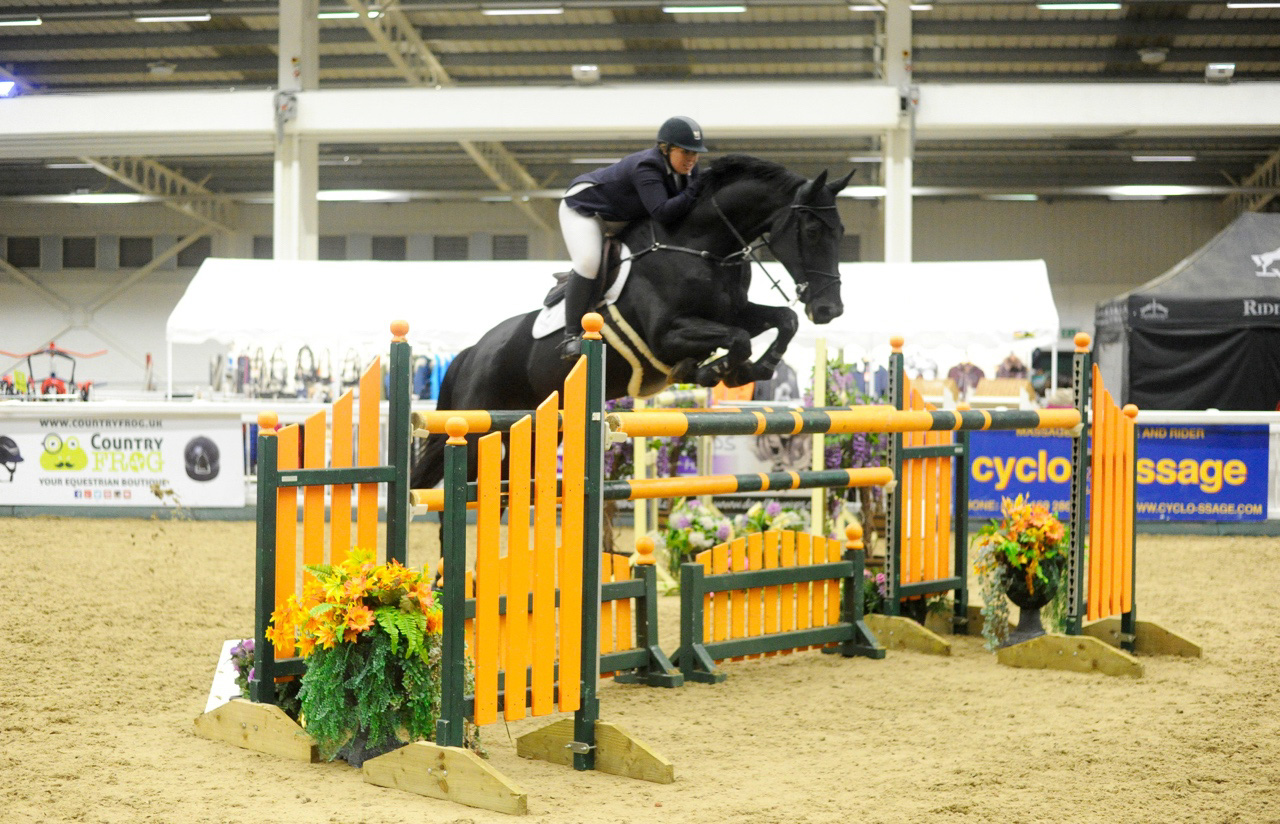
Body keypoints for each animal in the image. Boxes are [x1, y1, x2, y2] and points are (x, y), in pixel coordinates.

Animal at [409, 154, 849, 488]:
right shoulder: (665, 335)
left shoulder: (732, 311)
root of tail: (472, 352)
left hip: (530, 431)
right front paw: (713, 370)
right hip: (476, 426)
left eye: (841, 231)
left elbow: (783, 320)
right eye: (812, 230)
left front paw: (756, 368)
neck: (701, 246)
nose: (830, 310)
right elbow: (737, 339)